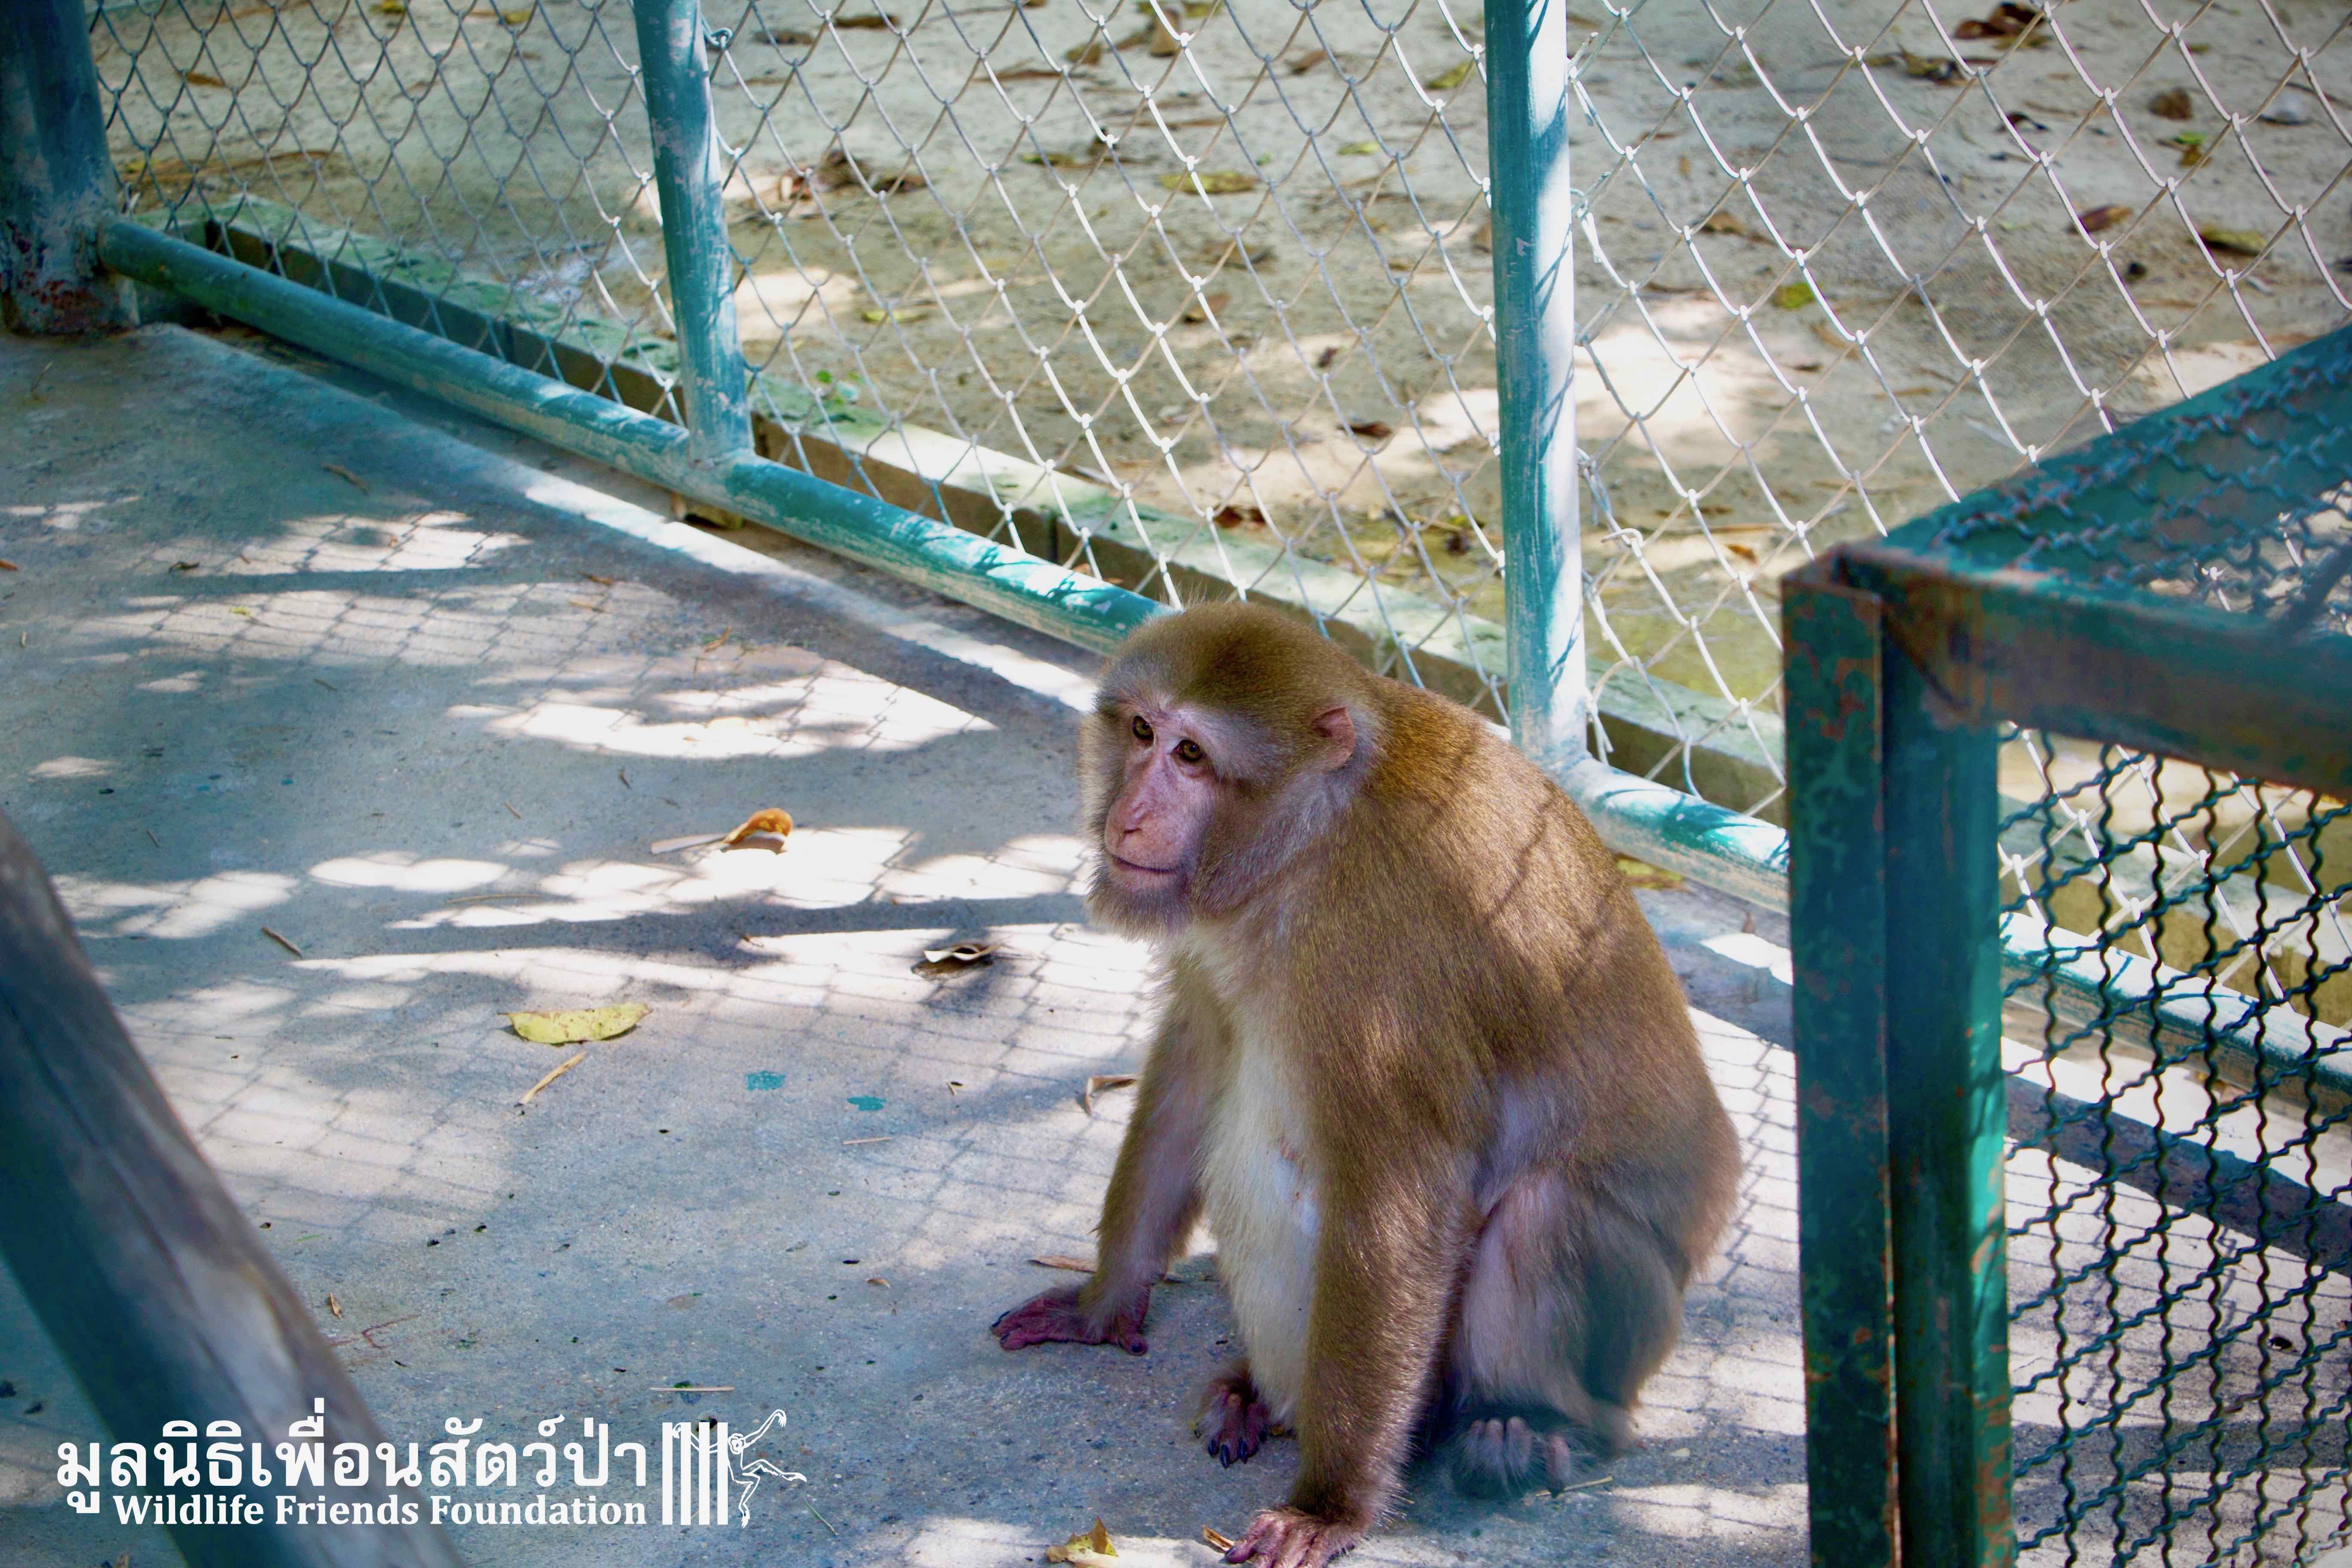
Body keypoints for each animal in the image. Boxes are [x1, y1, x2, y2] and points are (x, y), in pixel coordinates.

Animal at [991, 603, 1740, 1568]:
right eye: (1144, 732)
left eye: (1192, 756)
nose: (1128, 817)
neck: (1309, 837)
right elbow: (1195, 1062)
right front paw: (1102, 1302)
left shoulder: (1376, 957)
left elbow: (1396, 1205)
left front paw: (1332, 1505)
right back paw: (1259, 1395)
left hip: (1636, 1328)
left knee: (1534, 1213)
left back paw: (1525, 1429)